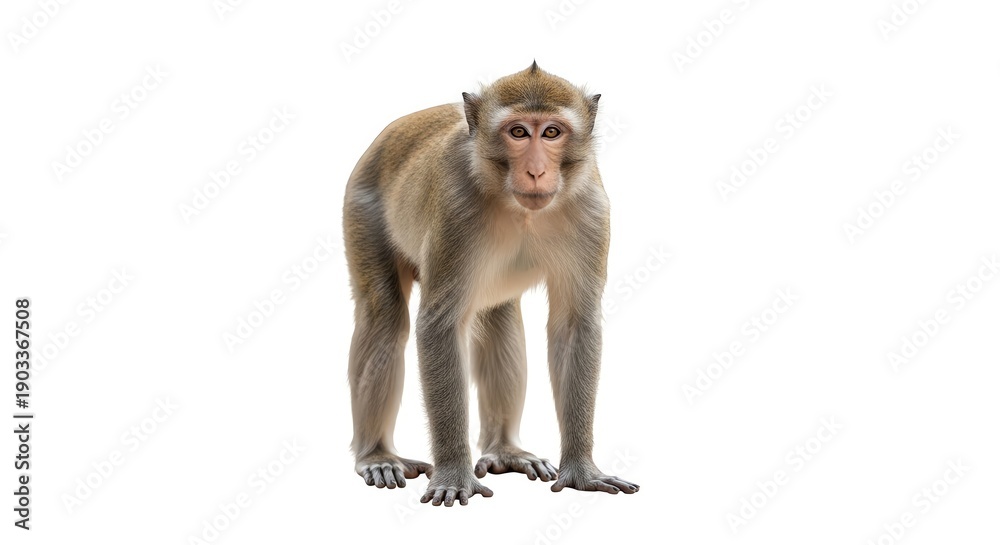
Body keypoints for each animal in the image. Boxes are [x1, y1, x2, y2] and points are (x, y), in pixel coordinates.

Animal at [343, 62, 638, 506]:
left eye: (551, 132)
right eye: (518, 132)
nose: (536, 171)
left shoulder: (592, 210)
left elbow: (574, 326)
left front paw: (581, 469)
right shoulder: (455, 209)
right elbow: (440, 325)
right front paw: (453, 472)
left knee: (500, 316)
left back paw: (504, 450)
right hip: (361, 205)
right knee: (384, 319)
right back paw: (376, 455)